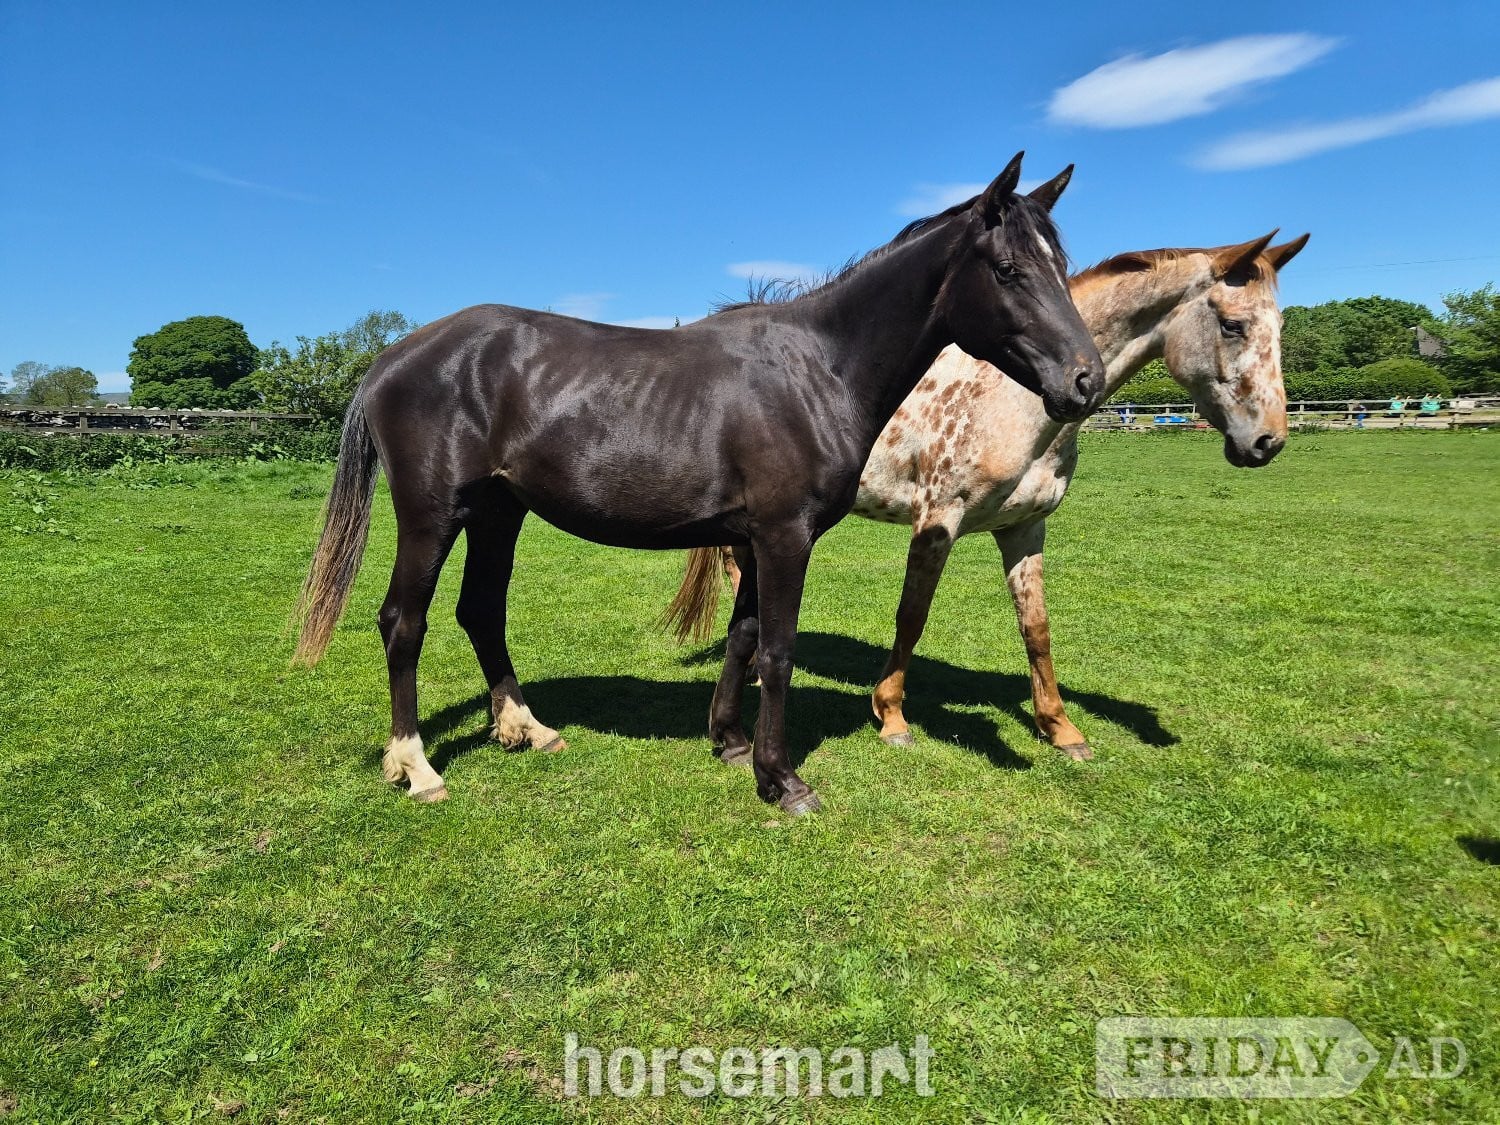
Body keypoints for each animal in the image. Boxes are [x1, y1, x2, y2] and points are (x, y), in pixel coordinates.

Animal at [293, 153, 1107, 816]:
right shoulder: (783, 536)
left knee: (481, 611)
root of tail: (395, 356)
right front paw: (783, 781)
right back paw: (416, 766)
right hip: (433, 514)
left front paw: (731, 744)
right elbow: (776, 650)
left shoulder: (751, 537)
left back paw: (526, 728)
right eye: (1008, 270)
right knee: (404, 622)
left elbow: (742, 638)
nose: (1086, 382)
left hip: (499, 512)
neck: (818, 370)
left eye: (1059, 267)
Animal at [664, 231, 1308, 758]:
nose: (1268, 441)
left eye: (1279, 329)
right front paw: (890, 715)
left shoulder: (1025, 528)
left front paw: (1060, 728)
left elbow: (1037, 628)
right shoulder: (937, 522)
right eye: (1232, 325)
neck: (1014, 396)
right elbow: (912, 616)